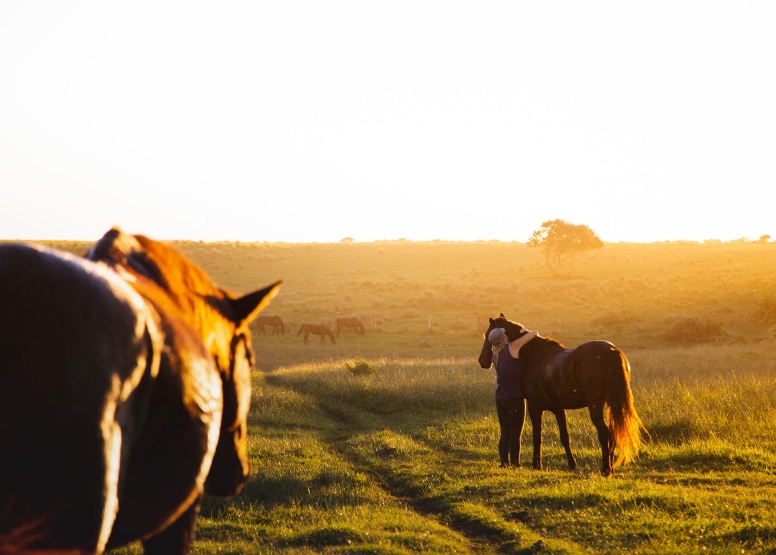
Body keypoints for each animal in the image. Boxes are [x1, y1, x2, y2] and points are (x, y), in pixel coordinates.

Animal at [478, 314, 648, 476]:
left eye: (487, 335)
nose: (482, 360)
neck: (535, 355)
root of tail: (611, 350)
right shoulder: (558, 409)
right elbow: (565, 438)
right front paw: (572, 466)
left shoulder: (534, 407)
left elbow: (536, 437)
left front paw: (536, 465)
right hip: (611, 404)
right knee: (612, 435)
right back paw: (610, 468)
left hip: (595, 406)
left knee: (604, 433)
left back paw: (605, 469)